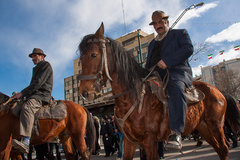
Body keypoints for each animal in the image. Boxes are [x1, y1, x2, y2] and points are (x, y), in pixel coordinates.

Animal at [77, 22, 238, 160]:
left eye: (93, 55)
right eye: (81, 59)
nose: (83, 92)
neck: (134, 98)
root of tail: (218, 91)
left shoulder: (149, 141)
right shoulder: (129, 141)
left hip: (216, 125)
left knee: (224, 148)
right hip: (203, 126)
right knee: (220, 149)